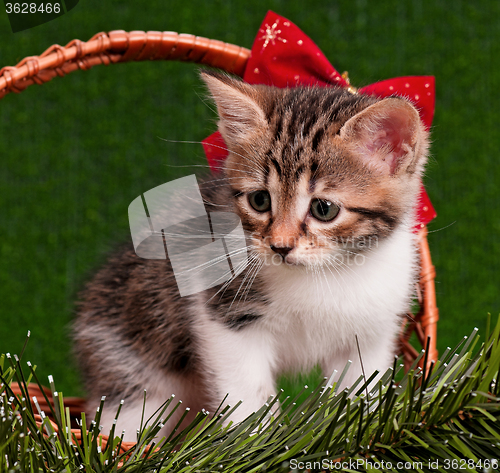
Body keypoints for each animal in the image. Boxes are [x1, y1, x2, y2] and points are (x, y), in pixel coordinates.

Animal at [74, 70, 430, 438]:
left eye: (324, 209)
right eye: (260, 200)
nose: (280, 246)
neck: (325, 274)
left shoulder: (374, 330)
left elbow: (361, 387)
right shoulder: (222, 314)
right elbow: (245, 390)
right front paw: (255, 440)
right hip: (130, 366)